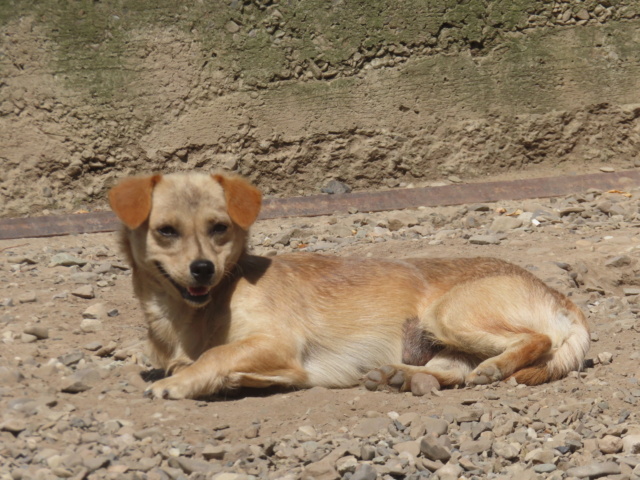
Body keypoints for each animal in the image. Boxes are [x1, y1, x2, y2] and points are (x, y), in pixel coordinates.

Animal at [109, 174, 592, 400]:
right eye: (166, 231)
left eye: (219, 228)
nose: (203, 269)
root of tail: (561, 297)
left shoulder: (277, 343)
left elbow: (216, 355)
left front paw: (184, 382)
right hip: (440, 337)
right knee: (454, 371)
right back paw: (398, 375)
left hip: (449, 314)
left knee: (536, 340)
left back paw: (492, 368)